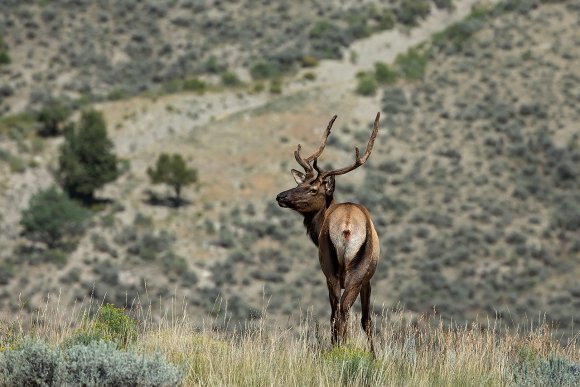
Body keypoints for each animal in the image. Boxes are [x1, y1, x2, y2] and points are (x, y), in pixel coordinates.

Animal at [276, 112, 380, 354]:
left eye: (312, 189)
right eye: (300, 184)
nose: (280, 196)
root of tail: (347, 227)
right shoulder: (364, 278)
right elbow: (365, 320)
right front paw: (372, 355)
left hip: (334, 269)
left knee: (339, 311)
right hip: (347, 271)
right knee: (342, 310)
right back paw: (339, 348)